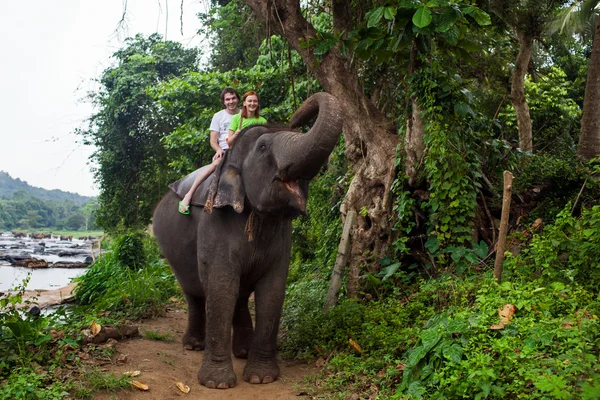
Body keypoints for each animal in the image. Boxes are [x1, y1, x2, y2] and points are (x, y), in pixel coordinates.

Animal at [152, 92, 342, 390]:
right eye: (263, 147)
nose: (296, 117)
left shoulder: (281, 235)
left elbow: (273, 291)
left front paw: (261, 378)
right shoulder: (214, 223)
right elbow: (221, 287)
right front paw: (217, 384)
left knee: (238, 295)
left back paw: (241, 350)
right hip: (170, 247)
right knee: (194, 292)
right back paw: (193, 346)